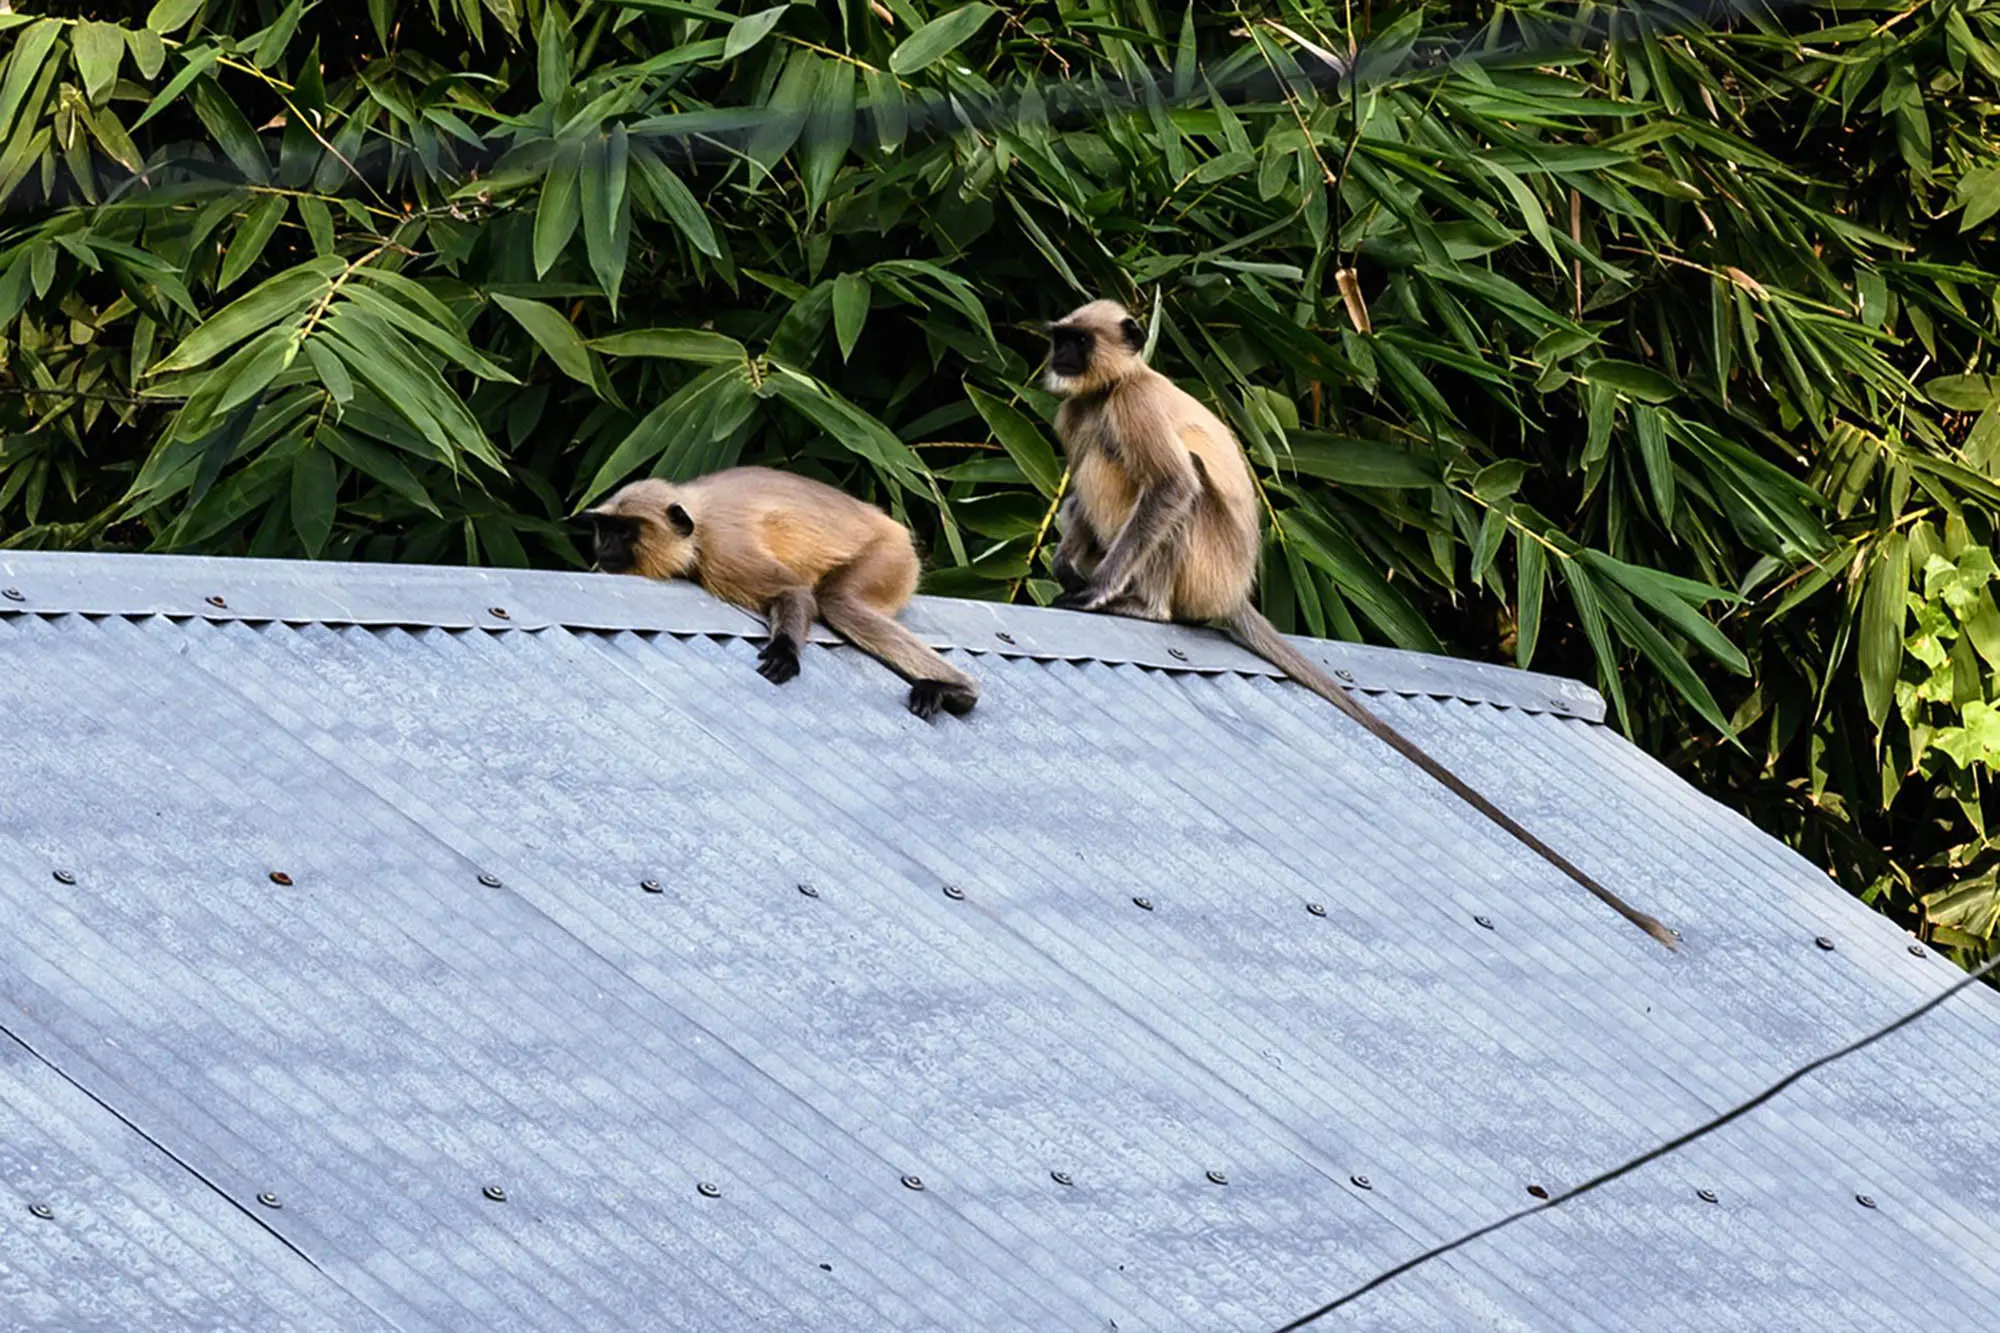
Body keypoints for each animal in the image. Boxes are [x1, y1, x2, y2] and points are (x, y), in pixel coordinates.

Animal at [585, 467, 979, 721]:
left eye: (624, 531)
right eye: (605, 529)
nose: (605, 547)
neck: (697, 522)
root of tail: (892, 526)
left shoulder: (725, 550)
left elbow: (795, 591)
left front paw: (785, 651)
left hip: (888, 557)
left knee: (837, 602)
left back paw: (959, 691)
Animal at [1040, 299, 1678, 951]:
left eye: (1078, 343)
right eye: (1061, 339)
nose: (1058, 358)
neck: (1107, 389)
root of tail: (1235, 589)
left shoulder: (1133, 404)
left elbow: (1172, 485)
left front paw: (1094, 590)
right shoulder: (1078, 411)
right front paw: (1066, 566)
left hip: (1202, 562)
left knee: (1169, 480)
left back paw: (1144, 605)